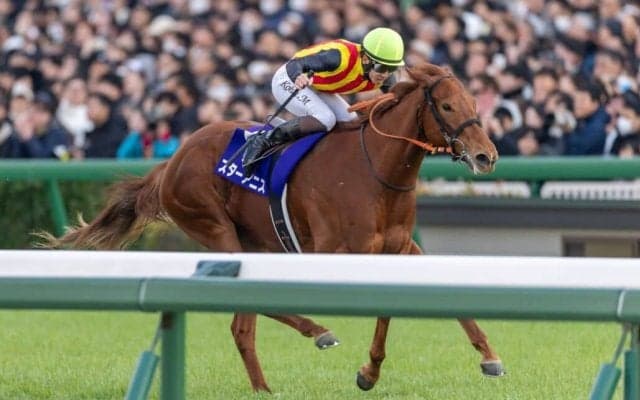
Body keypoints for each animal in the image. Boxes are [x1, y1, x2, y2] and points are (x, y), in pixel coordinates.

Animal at [40, 62, 502, 392]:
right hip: (216, 228)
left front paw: (488, 357)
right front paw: (367, 371)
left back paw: (289, 359)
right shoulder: (334, 253)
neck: (376, 169)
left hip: (254, 241)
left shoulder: (402, 248)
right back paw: (291, 359)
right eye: (447, 107)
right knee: (241, 316)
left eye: (474, 103)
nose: (486, 156)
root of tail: (171, 161)